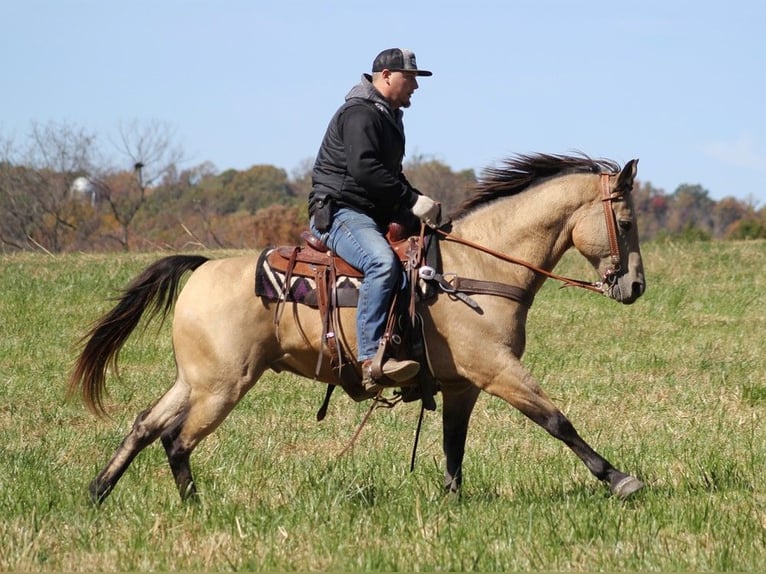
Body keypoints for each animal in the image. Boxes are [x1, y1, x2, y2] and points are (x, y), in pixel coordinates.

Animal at [69, 153, 648, 504]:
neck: (477, 268)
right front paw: (621, 479)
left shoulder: (462, 386)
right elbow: (556, 420)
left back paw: (99, 491)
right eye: (625, 222)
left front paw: (451, 501)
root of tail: (203, 267)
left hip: (195, 379)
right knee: (176, 438)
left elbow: (453, 446)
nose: (637, 285)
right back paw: (195, 506)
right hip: (222, 386)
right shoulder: (497, 370)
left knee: (145, 425)